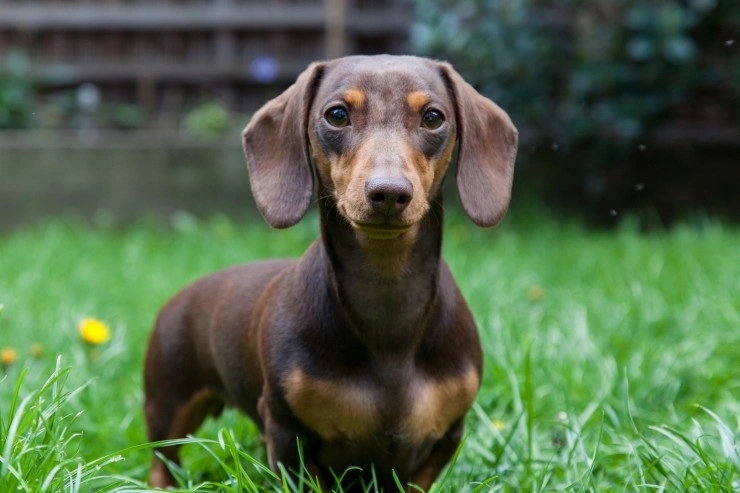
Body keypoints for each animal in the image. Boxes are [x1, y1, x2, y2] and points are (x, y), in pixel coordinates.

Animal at [143, 55, 516, 490]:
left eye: (433, 117)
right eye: (337, 115)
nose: (389, 192)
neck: (388, 311)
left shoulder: (446, 438)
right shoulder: (287, 434)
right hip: (167, 405)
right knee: (162, 461)